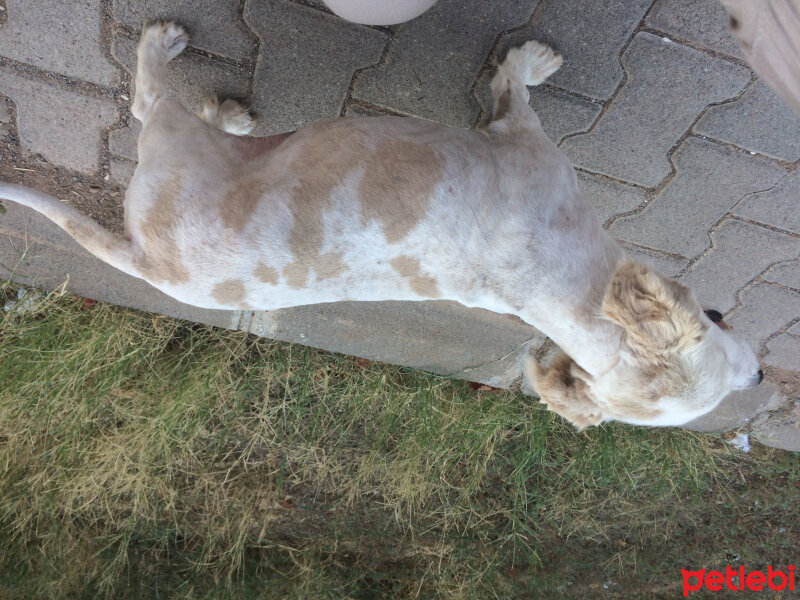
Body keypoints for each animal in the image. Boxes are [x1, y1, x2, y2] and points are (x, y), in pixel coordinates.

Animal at [0, 22, 764, 426]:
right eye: (729, 362)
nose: (760, 380)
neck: (564, 289)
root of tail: (147, 261)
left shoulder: (515, 139)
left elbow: (511, 87)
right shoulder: (521, 137)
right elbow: (517, 87)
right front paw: (536, 60)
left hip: (182, 147)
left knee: (151, 105)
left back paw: (204, 89)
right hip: (176, 141)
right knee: (146, 99)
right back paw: (170, 50)